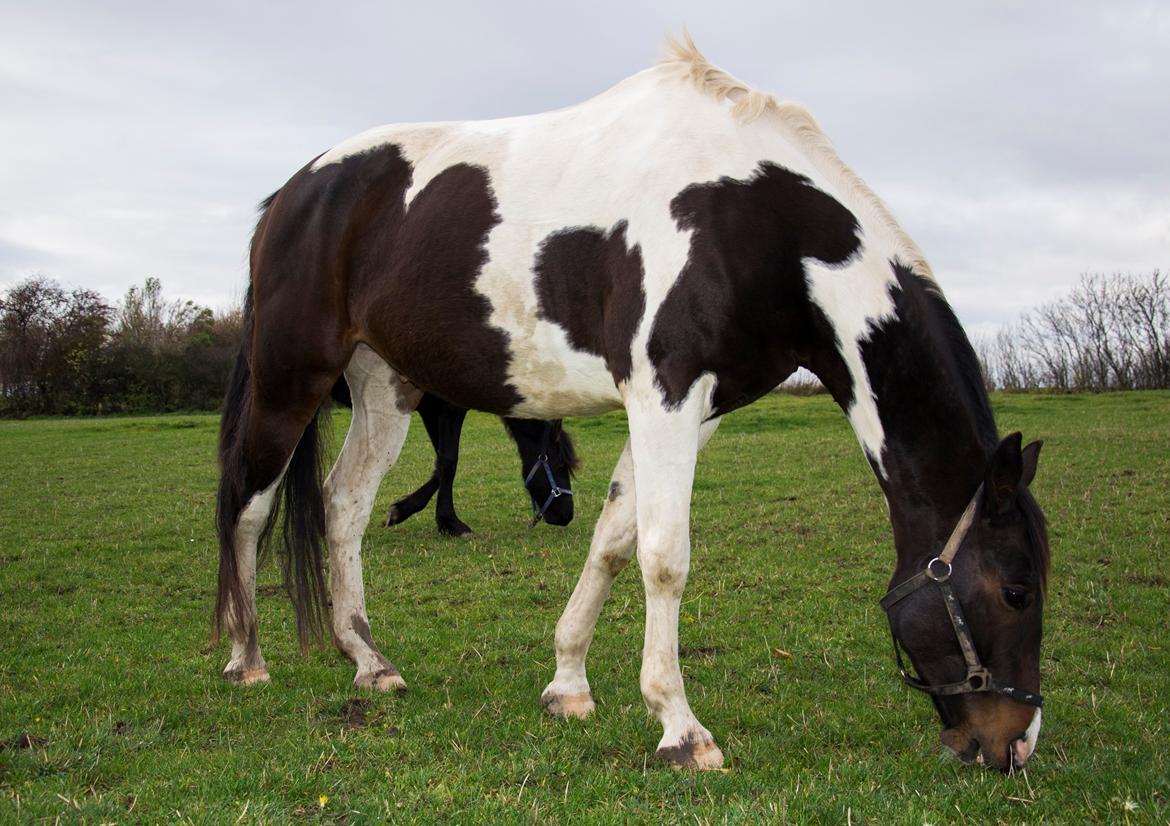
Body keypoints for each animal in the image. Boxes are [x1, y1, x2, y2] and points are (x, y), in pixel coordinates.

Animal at [329, 376, 575, 531]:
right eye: (561, 465)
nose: (567, 516)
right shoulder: (449, 408)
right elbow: (449, 462)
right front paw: (450, 522)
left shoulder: (431, 409)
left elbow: (439, 464)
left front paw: (402, 510)